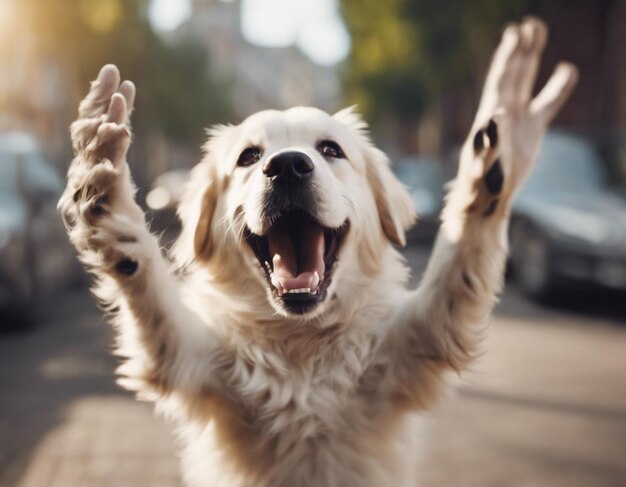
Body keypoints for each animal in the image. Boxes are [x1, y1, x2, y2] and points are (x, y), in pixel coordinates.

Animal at [58, 17, 576, 487]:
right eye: (249, 157)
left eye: (330, 149)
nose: (287, 166)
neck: (299, 347)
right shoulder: (188, 357)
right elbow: (143, 285)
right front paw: (102, 186)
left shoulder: (418, 340)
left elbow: (460, 257)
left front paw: (500, 146)